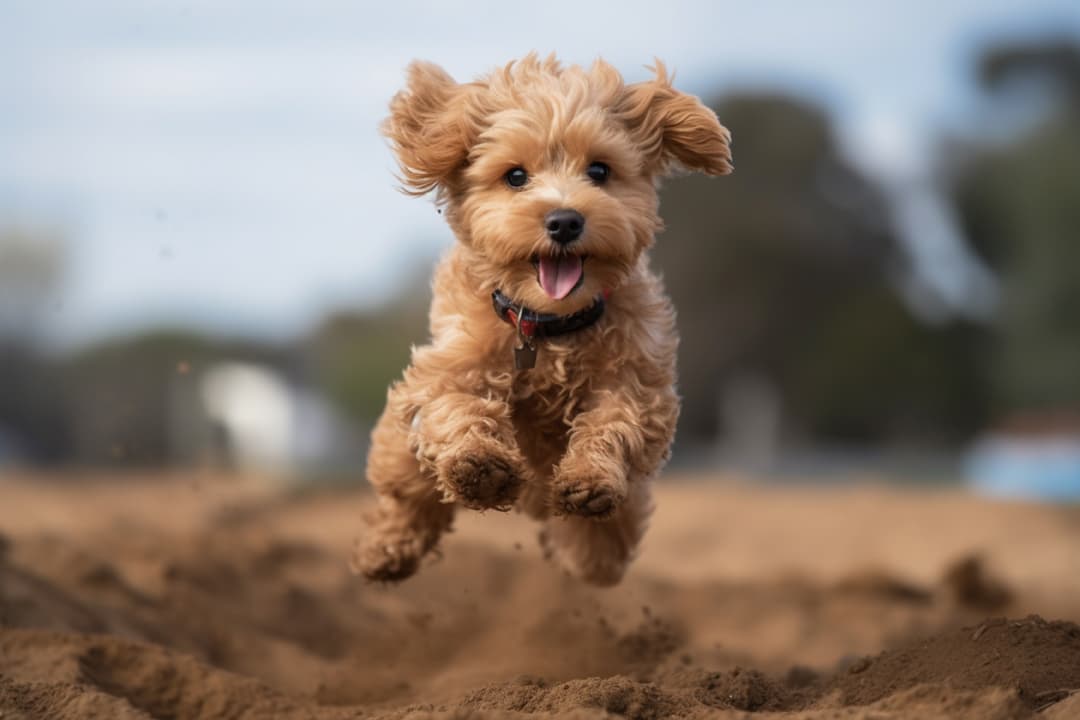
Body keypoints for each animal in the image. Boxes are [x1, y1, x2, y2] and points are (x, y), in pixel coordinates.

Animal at [356, 55, 734, 587]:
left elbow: (617, 420)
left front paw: (589, 479)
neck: (549, 327)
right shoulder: (449, 365)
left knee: (605, 540)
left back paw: (590, 553)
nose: (564, 220)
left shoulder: (639, 381)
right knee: (407, 496)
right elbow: (454, 406)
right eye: (515, 176)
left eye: (599, 170)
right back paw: (386, 551)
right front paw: (479, 465)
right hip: (399, 452)